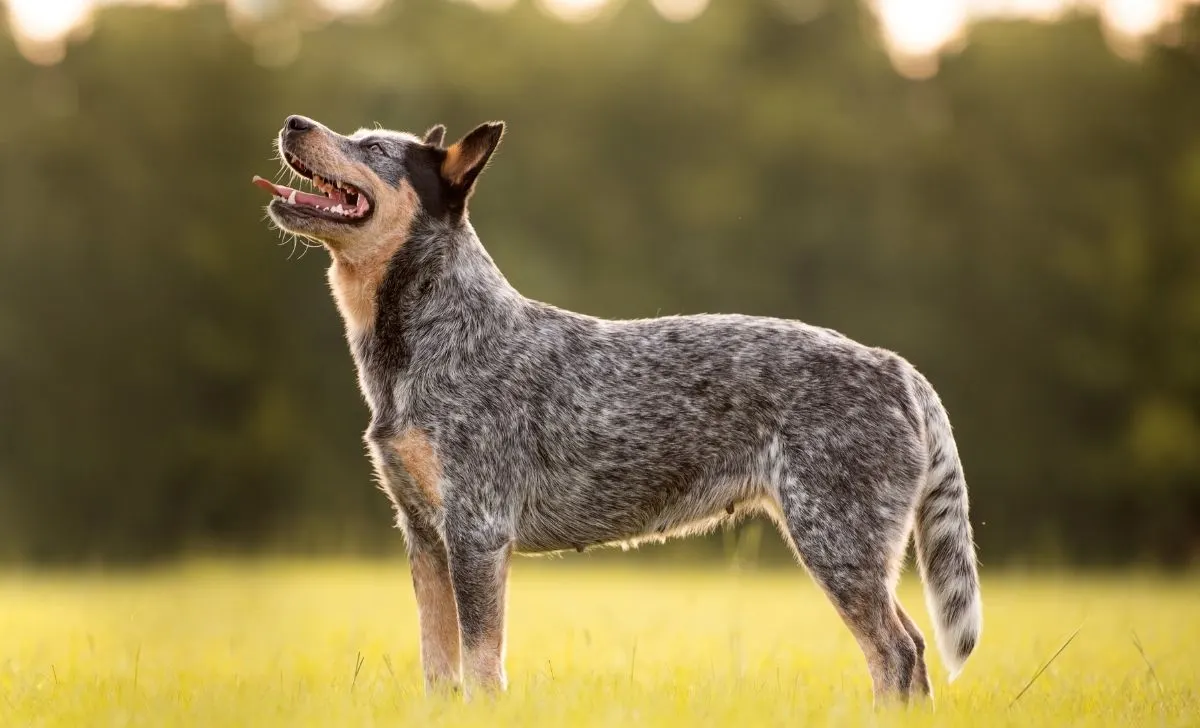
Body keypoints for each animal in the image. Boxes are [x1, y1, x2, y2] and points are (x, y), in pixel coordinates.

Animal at [248, 116, 979, 705]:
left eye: (372, 147)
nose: (293, 121)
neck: (432, 333)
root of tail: (897, 368)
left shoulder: (477, 531)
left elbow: (481, 664)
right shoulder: (423, 535)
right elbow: (438, 666)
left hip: (837, 541)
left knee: (897, 653)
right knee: (907, 653)